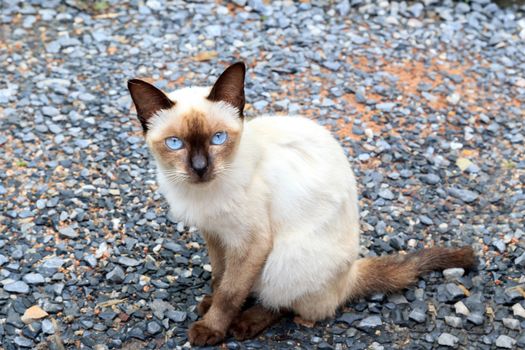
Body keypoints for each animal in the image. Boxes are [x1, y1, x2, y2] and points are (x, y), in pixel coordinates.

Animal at [127, 62, 474, 344]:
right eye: (175, 143)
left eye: (218, 139)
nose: (200, 168)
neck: (201, 193)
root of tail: (349, 274)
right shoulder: (215, 234)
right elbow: (219, 276)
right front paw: (209, 303)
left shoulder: (250, 242)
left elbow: (230, 291)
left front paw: (211, 328)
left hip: (285, 259)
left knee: (288, 304)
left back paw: (244, 324)